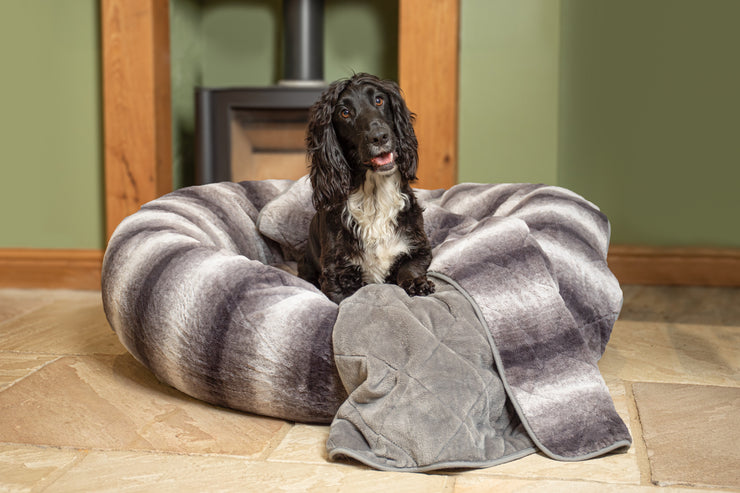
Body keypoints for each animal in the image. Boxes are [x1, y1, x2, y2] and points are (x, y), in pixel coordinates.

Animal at [298, 73, 436, 304]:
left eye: (379, 100)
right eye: (344, 112)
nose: (379, 136)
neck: (374, 196)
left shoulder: (418, 247)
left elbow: (410, 267)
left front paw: (418, 283)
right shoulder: (336, 274)